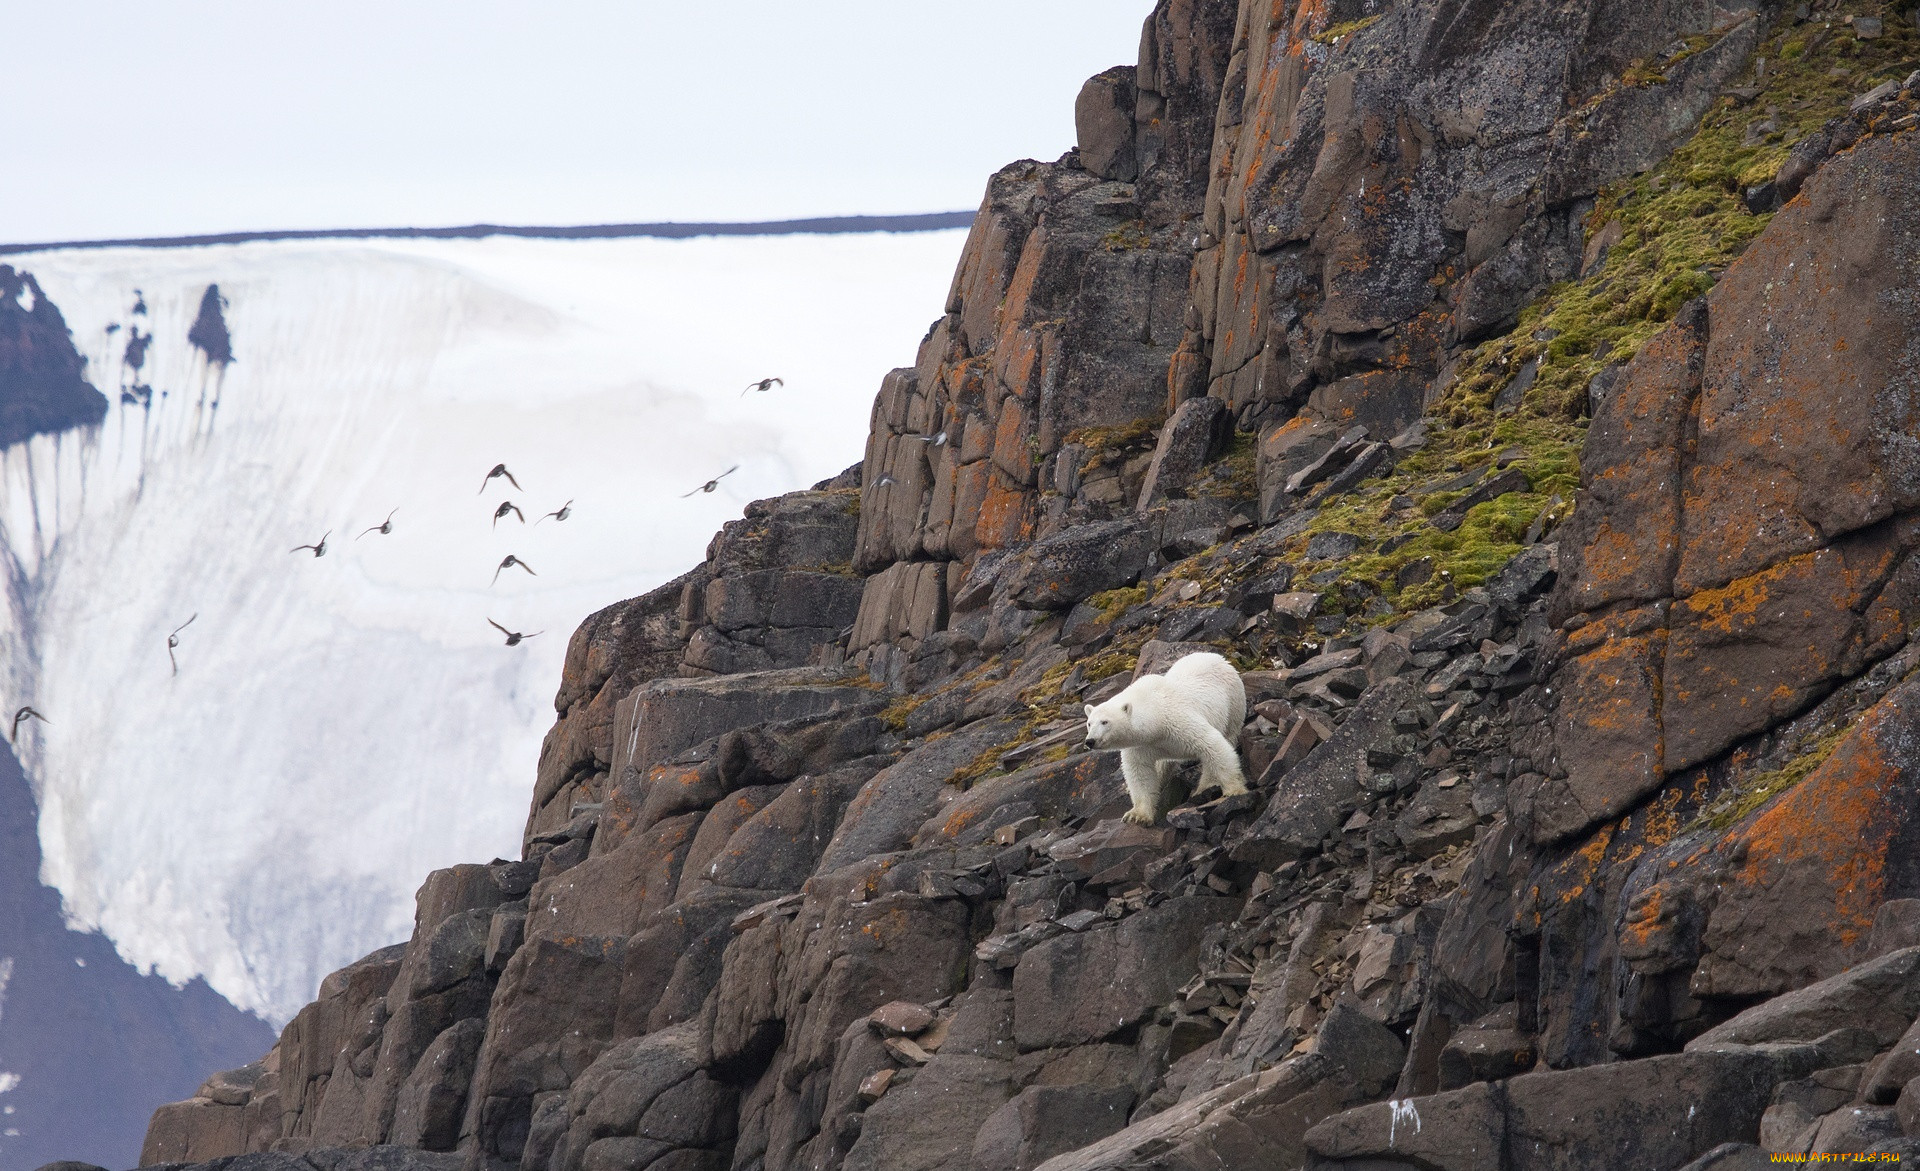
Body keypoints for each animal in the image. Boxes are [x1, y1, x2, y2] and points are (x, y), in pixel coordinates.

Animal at [1082, 652, 1244, 825]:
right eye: (1089, 723)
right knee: (1163, 763)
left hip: (1233, 702)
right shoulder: (1142, 745)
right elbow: (1140, 771)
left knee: (1228, 736)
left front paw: (1235, 790)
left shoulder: (1179, 721)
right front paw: (1136, 815)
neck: (1157, 718)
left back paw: (1206, 785)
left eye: (1105, 722)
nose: (1090, 741)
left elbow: (1211, 744)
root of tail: (1216, 656)